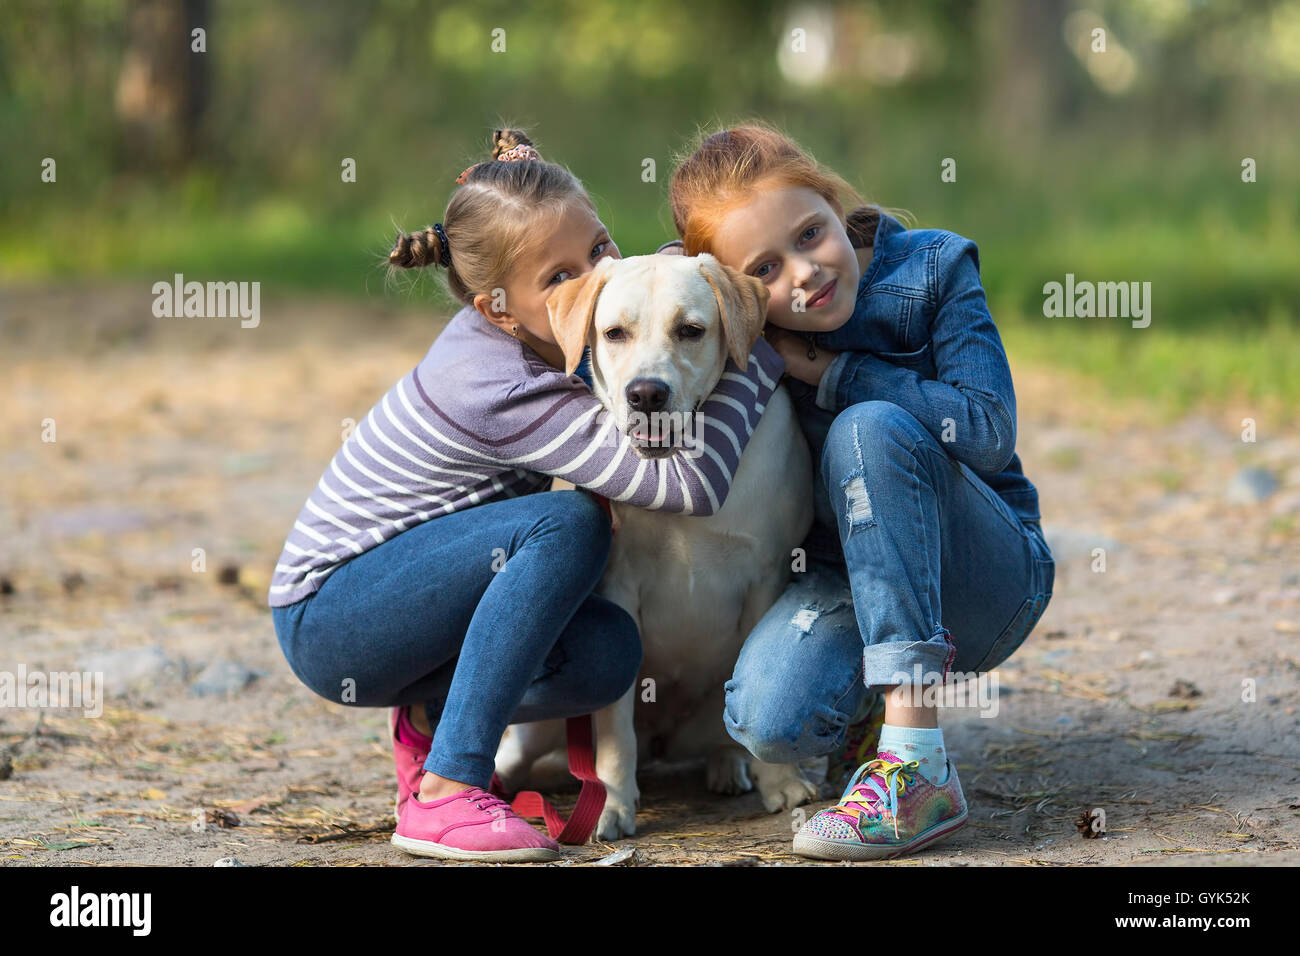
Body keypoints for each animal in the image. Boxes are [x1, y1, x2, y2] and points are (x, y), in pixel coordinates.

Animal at [491, 252, 816, 837]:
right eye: (614, 333)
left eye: (691, 330)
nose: (646, 394)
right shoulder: (621, 588)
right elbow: (616, 729)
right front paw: (613, 804)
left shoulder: (766, 575)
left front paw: (779, 781)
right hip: (541, 725)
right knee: (516, 752)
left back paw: (728, 766)